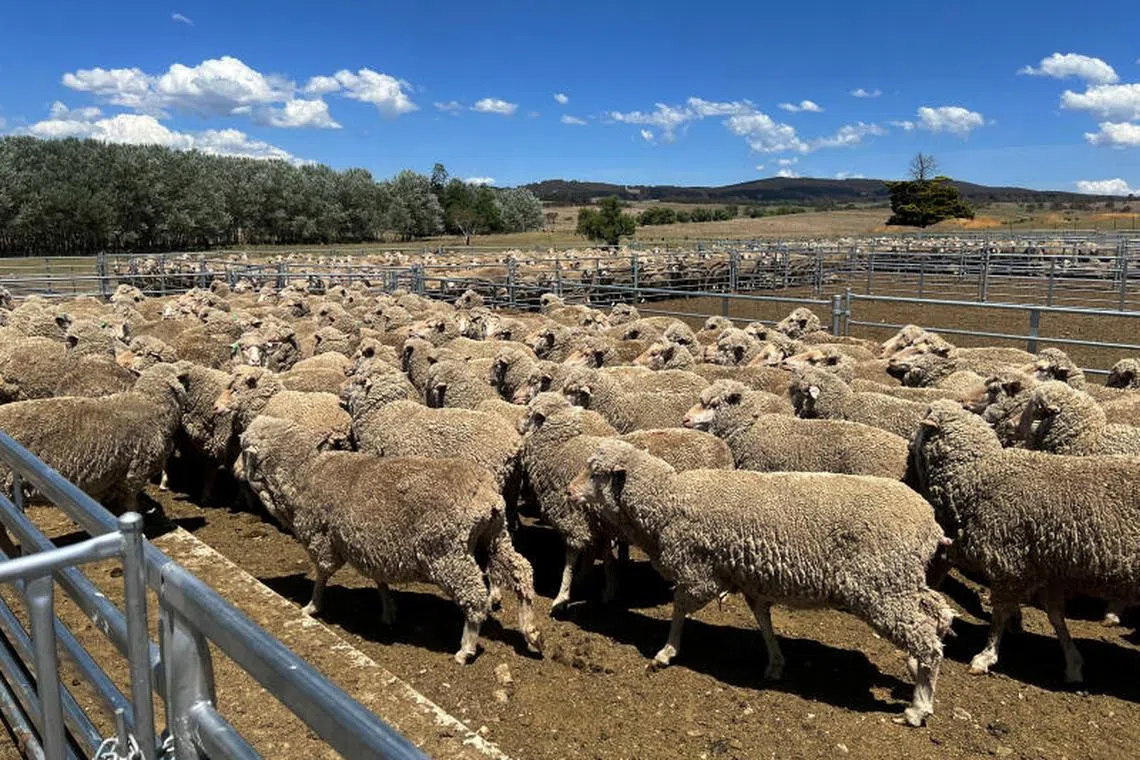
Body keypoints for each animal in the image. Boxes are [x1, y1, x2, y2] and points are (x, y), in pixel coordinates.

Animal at [239, 416, 541, 663]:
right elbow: (380, 581)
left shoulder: (321, 540)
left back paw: (466, 648)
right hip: (495, 537)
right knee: (521, 571)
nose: (235, 472)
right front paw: (388, 612)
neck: (303, 472)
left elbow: (322, 575)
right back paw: (530, 630)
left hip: (447, 552)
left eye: (242, 449)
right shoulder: (373, 547)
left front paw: (312, 607)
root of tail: (486, 495)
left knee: (475, 597)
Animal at [566, 439, 953, 727]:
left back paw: (919, 707)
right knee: (939, 614)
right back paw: (917, 671)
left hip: (883, 588)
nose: (569, 492)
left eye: (596, 472)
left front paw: (666, 652)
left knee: (927, 639)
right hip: (902, 581)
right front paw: (775, 663)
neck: (666, 500)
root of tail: (930, 524)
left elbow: (678, 609)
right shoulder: (749, 577)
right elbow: (762, 618)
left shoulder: (699, 573)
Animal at [909, 400, 1140, 684]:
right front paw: (1073, 662)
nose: (909, 445)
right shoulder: (1047, 569)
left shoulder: (1010, 563)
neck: (980, 476)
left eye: (924, 421)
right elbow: (1056, 617)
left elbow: (1000, 613)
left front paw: (985, 657)